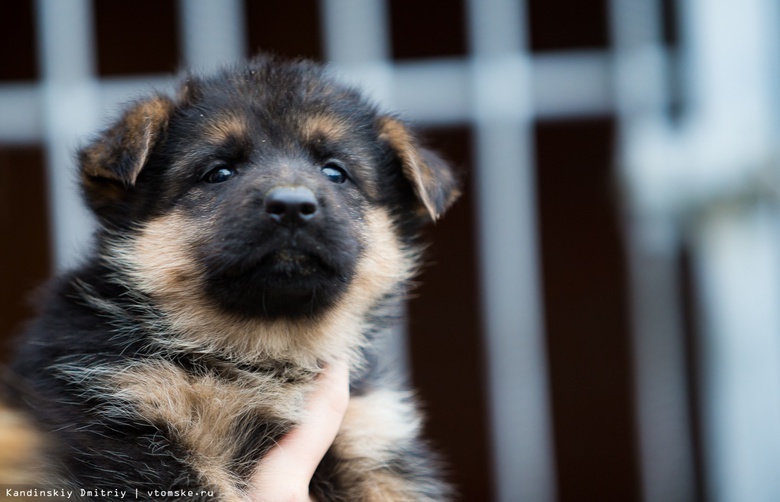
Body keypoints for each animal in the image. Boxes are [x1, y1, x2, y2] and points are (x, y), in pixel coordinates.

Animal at [4, 56, 458, 500]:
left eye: (335, 172)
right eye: (219, 173)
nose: (292, 206)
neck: (263, 350)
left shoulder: (371, 437)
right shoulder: (136, 422)